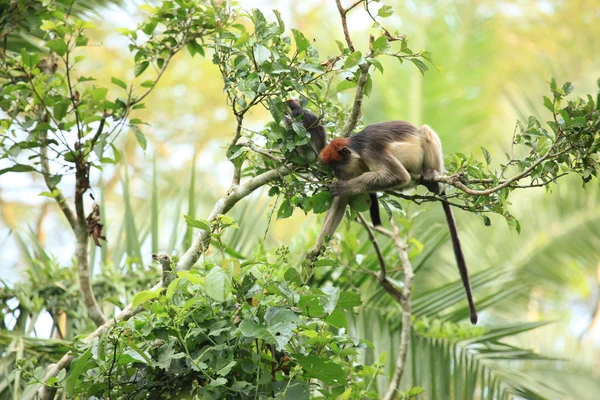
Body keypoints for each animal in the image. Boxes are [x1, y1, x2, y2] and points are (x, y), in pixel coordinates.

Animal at [318, 122, 478, 324]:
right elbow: (342, 200)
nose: (334, 174)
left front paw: (343, 186)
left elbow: (398, 176)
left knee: (424, 131)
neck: (357, 148)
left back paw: (432, 179)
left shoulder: (370, 151)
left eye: (336, 167)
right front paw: (315, 252)